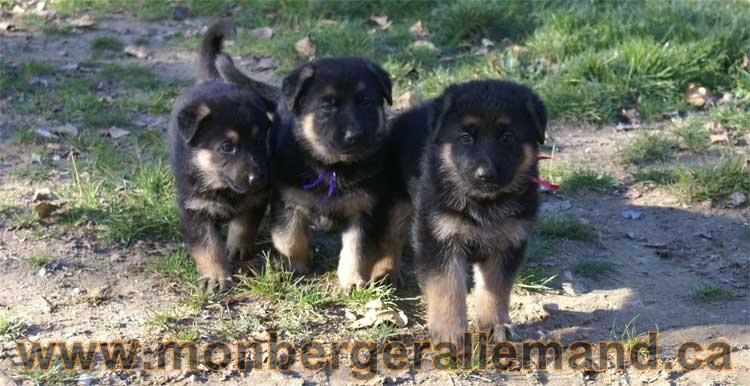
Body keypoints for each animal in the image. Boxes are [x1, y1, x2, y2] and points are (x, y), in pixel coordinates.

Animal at [167, 18, 276, 290]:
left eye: (261, 140)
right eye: (227, 147)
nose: (258, 178)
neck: (222, 187)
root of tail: (210, 79)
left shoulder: (256, 198)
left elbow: (244, 226)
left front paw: (238, 249)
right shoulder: (194, 209)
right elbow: (207, 247)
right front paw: (216, 276)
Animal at [388, 80, 548, 344]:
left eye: (507, 137)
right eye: (465, 138)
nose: (485, 174)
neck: (483, 203)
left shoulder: (507, 242)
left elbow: (496, 289)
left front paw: (495, 324)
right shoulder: (438, 239)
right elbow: (447, 289)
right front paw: (449, 332)